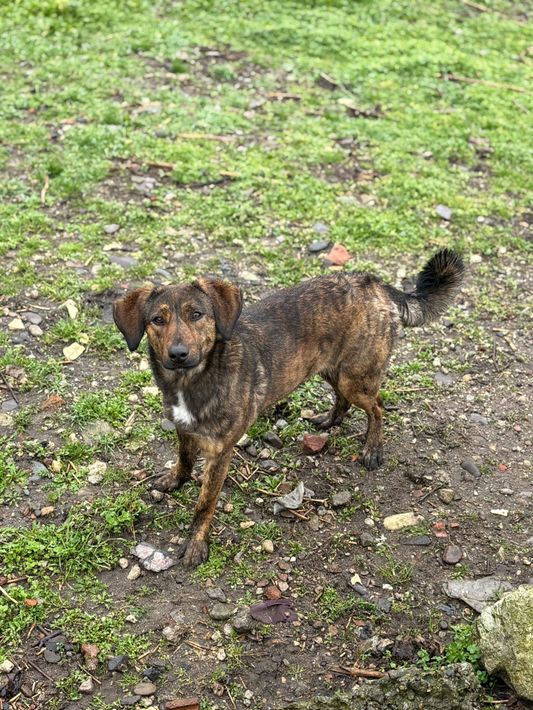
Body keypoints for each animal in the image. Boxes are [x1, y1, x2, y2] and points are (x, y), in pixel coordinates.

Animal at [113, 249, 464, 567]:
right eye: (157, 320)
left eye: (197, 314)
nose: (178, 354)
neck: (192, 380)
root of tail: (374, 283)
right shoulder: (184, 428)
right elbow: (185, 458)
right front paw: (176, 480)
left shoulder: (219, 453)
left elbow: (205, 503)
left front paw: (196, 543)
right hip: (329, 368)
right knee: (344, 401)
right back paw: (329, 420)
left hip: (355, 376)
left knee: (376, 406)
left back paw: (372, 448)